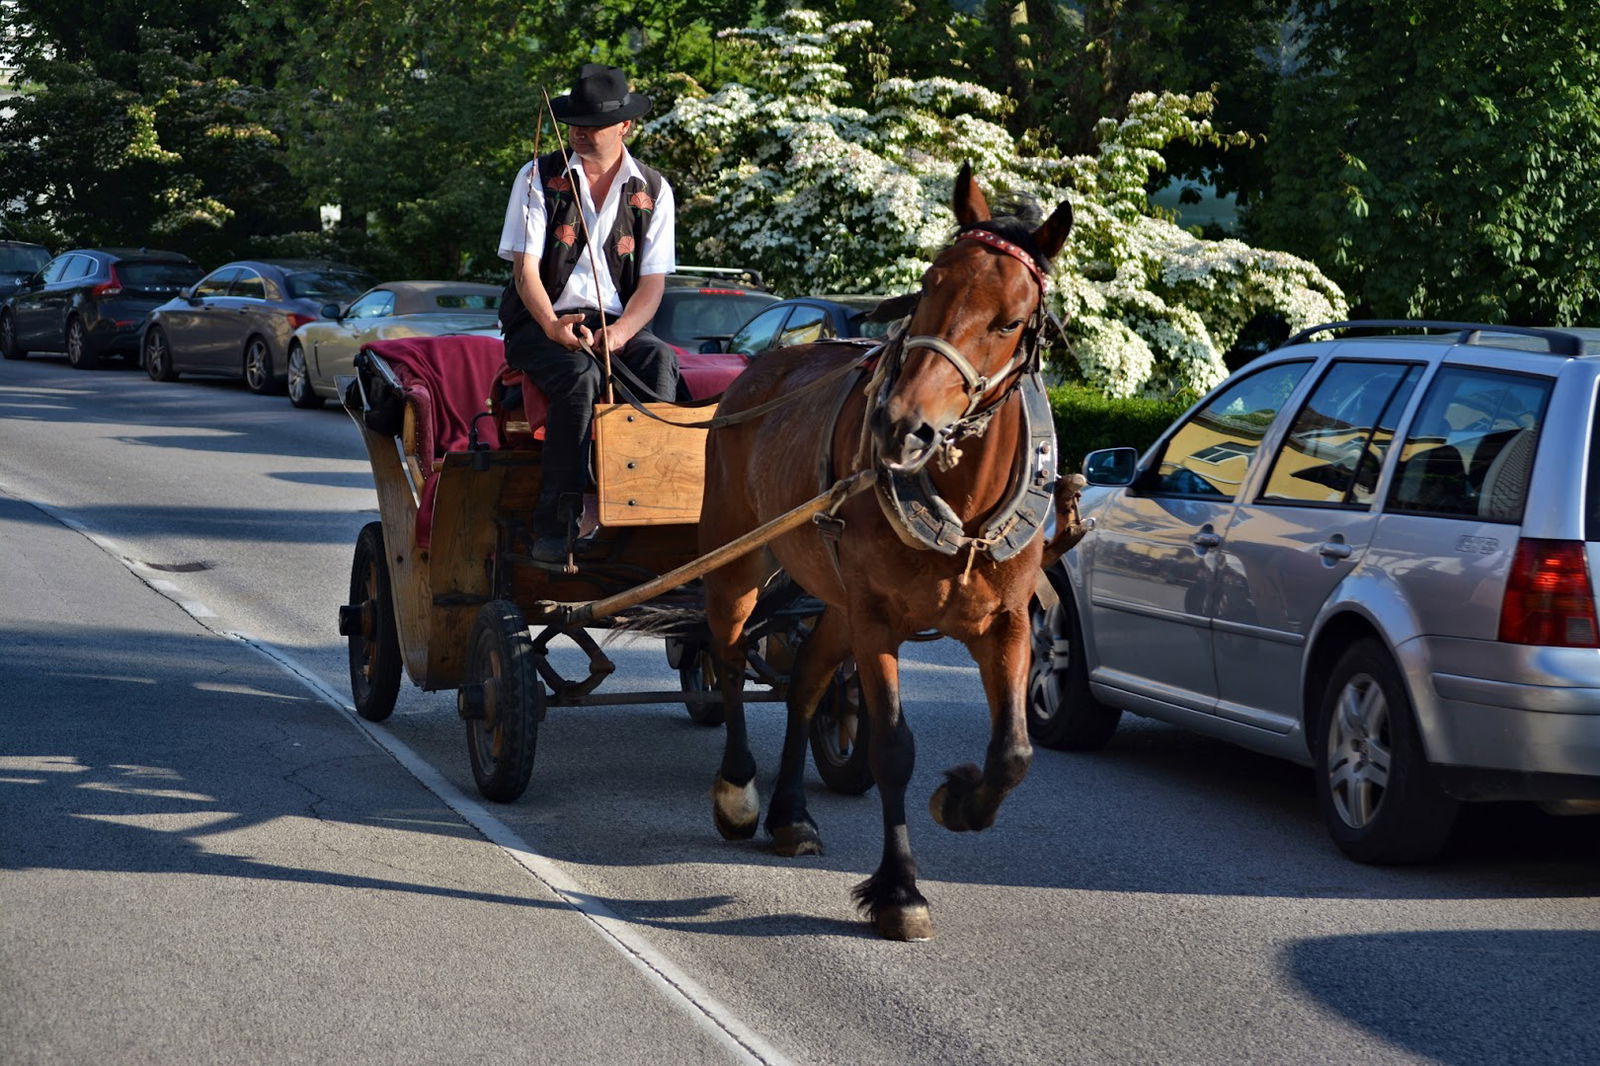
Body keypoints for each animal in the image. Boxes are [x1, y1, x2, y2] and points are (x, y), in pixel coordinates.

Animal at [700, 161, 1075, 934]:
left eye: (1010, 320)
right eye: (929, 286)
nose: (904, 426)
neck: (962, 501)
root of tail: (760, 367)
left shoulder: (1008, 621)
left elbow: (1014, 751)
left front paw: (961, 800)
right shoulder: (877, 620)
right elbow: (892, 748)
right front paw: (900, 890)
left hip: (834, 600)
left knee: (807, 684)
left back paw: (791, 814)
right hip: (736, 559)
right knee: (727, 657)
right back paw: (740, 793)